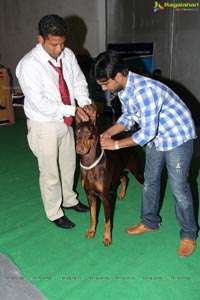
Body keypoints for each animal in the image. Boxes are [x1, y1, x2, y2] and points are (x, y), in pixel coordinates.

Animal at [75, 116, 144, 245]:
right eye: (77, 132)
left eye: (88, 132)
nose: (79, 149)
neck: (89, 163)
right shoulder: (90, 195)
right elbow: (93, 216)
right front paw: (91, 232)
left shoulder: (105, 197)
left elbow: (107, 220)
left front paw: (107, 238)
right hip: (118, 172)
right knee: (125, 178)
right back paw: (121, 194)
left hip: (137, 172)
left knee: (144, 184)